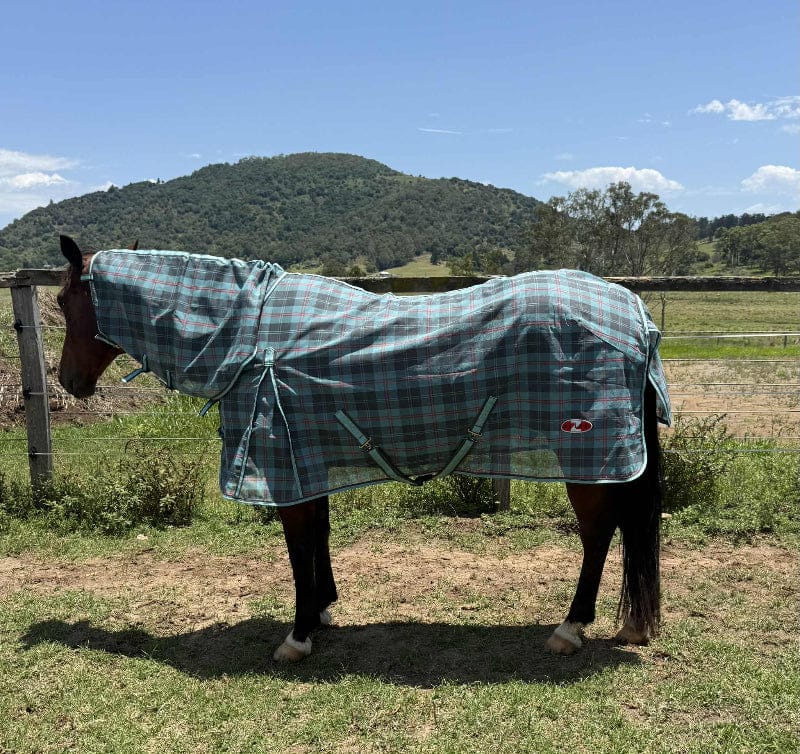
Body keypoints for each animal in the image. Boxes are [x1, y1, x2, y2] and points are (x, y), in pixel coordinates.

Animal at [56, 234, 669, 663]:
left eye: (63, 301)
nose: (68, 383)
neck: (251, 335)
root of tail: (636, 316)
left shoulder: (284, 468)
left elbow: (299, 549)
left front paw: (298, 635)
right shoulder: (307, 463)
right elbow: (319, 538)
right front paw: (324, 610)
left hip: (586, 452)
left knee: (599, 534)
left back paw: (571, 628)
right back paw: (628, 623)